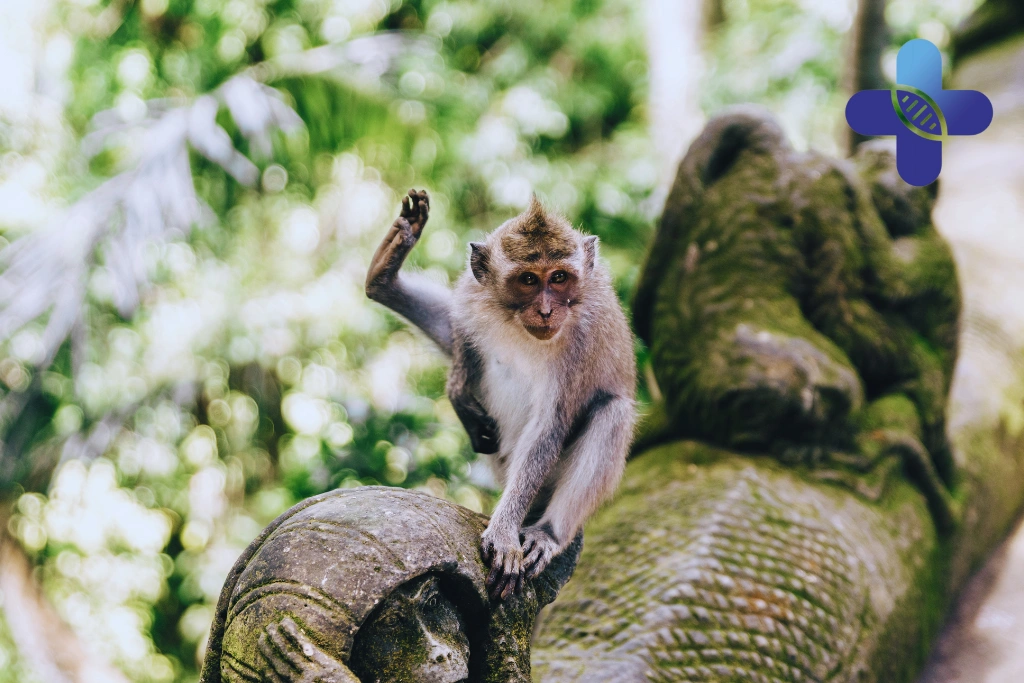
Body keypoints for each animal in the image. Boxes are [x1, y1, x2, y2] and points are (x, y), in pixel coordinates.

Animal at [366, 190, 637, 600]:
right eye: (528, 279)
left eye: (559, 278)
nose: (546, 310)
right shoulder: (472, 294)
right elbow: (455, 336)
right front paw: (387, 271)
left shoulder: (584, 335)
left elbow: (549, 427)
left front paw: (505, 532)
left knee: (613, 412)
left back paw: (549, 532)